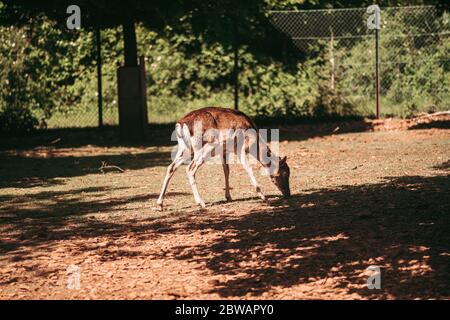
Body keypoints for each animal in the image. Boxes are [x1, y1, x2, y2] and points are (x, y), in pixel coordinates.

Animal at [156, 106, 290, 209]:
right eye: (284, 173)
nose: (288, 194)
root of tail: (181, 124)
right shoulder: (241, 148)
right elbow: (248, 169)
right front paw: (264, 197)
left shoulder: (225, 151)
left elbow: (226, 170)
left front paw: (229, 197)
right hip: (205, 147)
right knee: (190, 168)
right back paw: (201, 203)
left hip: (185, 148)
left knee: (171, 167)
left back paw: (160, 204)